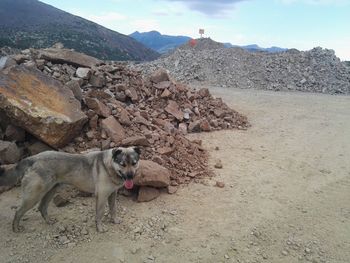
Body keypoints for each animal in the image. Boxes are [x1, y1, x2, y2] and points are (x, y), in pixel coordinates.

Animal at [0, 147, 141, 234]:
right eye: (122, 164)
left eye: (134, 163)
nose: (130, 176)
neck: (109, 166)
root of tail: (32, 158)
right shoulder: (101, 196)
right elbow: (100, 214)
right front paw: (100, 228)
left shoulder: (112, 194)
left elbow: (113, 209)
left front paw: (114, 220)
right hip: (34, 195)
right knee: (18, 211)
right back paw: (16, 228)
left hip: (51, 190)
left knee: (42, 207)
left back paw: (49, 221)